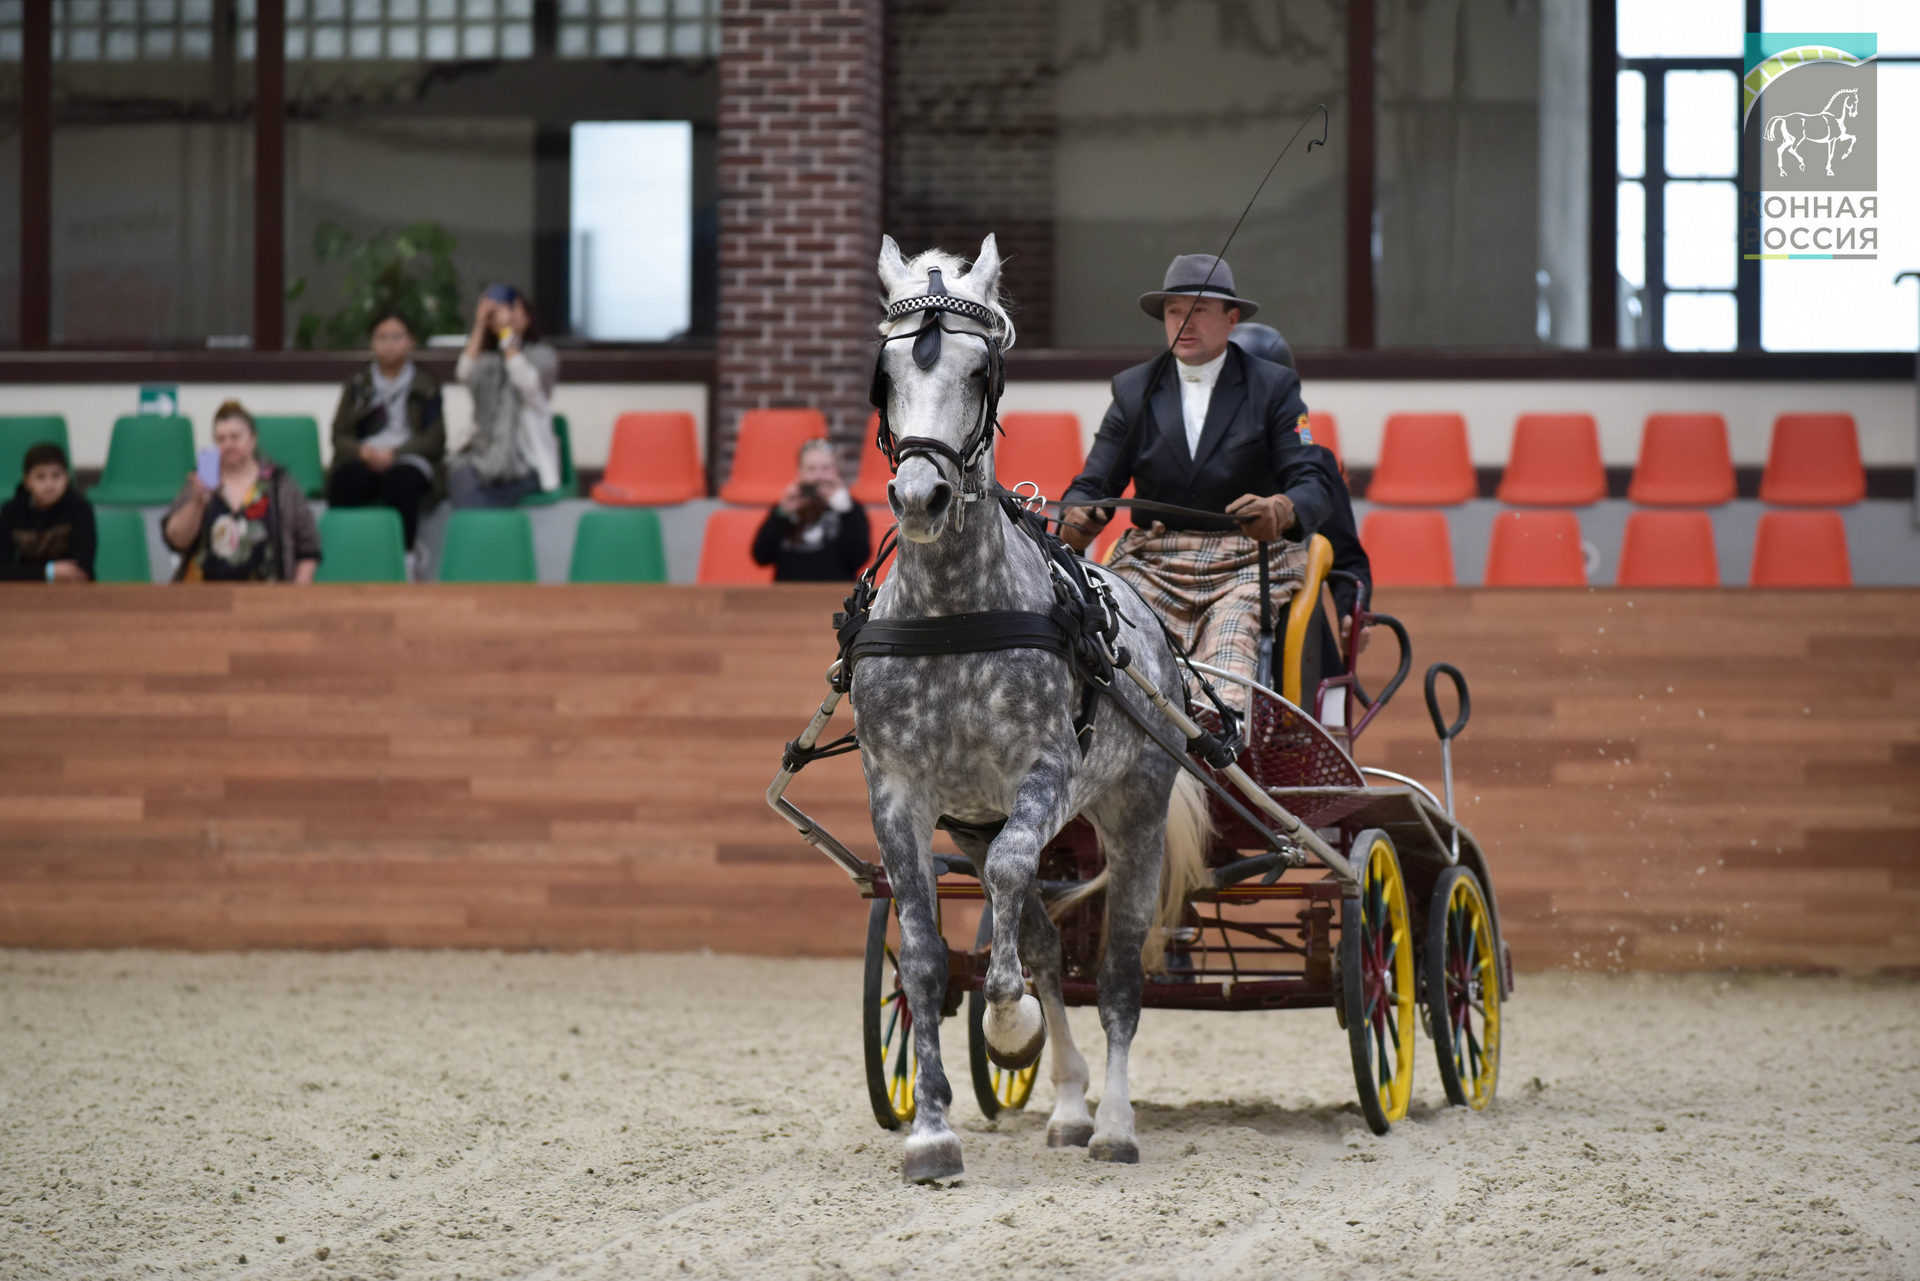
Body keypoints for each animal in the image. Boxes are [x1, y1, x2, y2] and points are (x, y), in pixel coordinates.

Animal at [860, 235, 1205, 1190]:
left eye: (980, 371)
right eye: (887, 370)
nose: (920, 499)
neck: (954, 614)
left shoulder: (1044, 772)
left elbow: (1019, 879)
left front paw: (1004, 1019)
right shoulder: (899, 795)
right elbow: (927, 959)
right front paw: (931, 1132)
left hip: (1133, 814)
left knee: (1118, 974)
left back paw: (1115, 1121)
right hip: (974, 824)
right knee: (1051, 946)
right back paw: (1071, 1105)